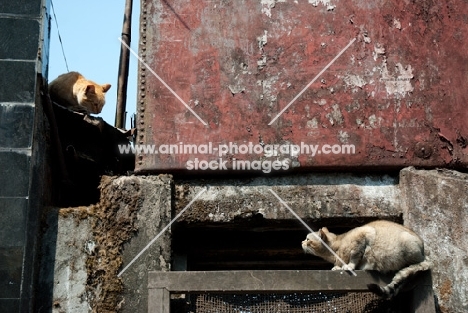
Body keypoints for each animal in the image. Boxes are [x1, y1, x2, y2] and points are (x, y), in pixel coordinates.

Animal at [304, 219, 432, 298]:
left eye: (308, 239)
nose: (301, 242)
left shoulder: (364, 234)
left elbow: (354, 257)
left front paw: (349, 266)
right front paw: (337, 267)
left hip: (408, 244)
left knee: (421, 263)